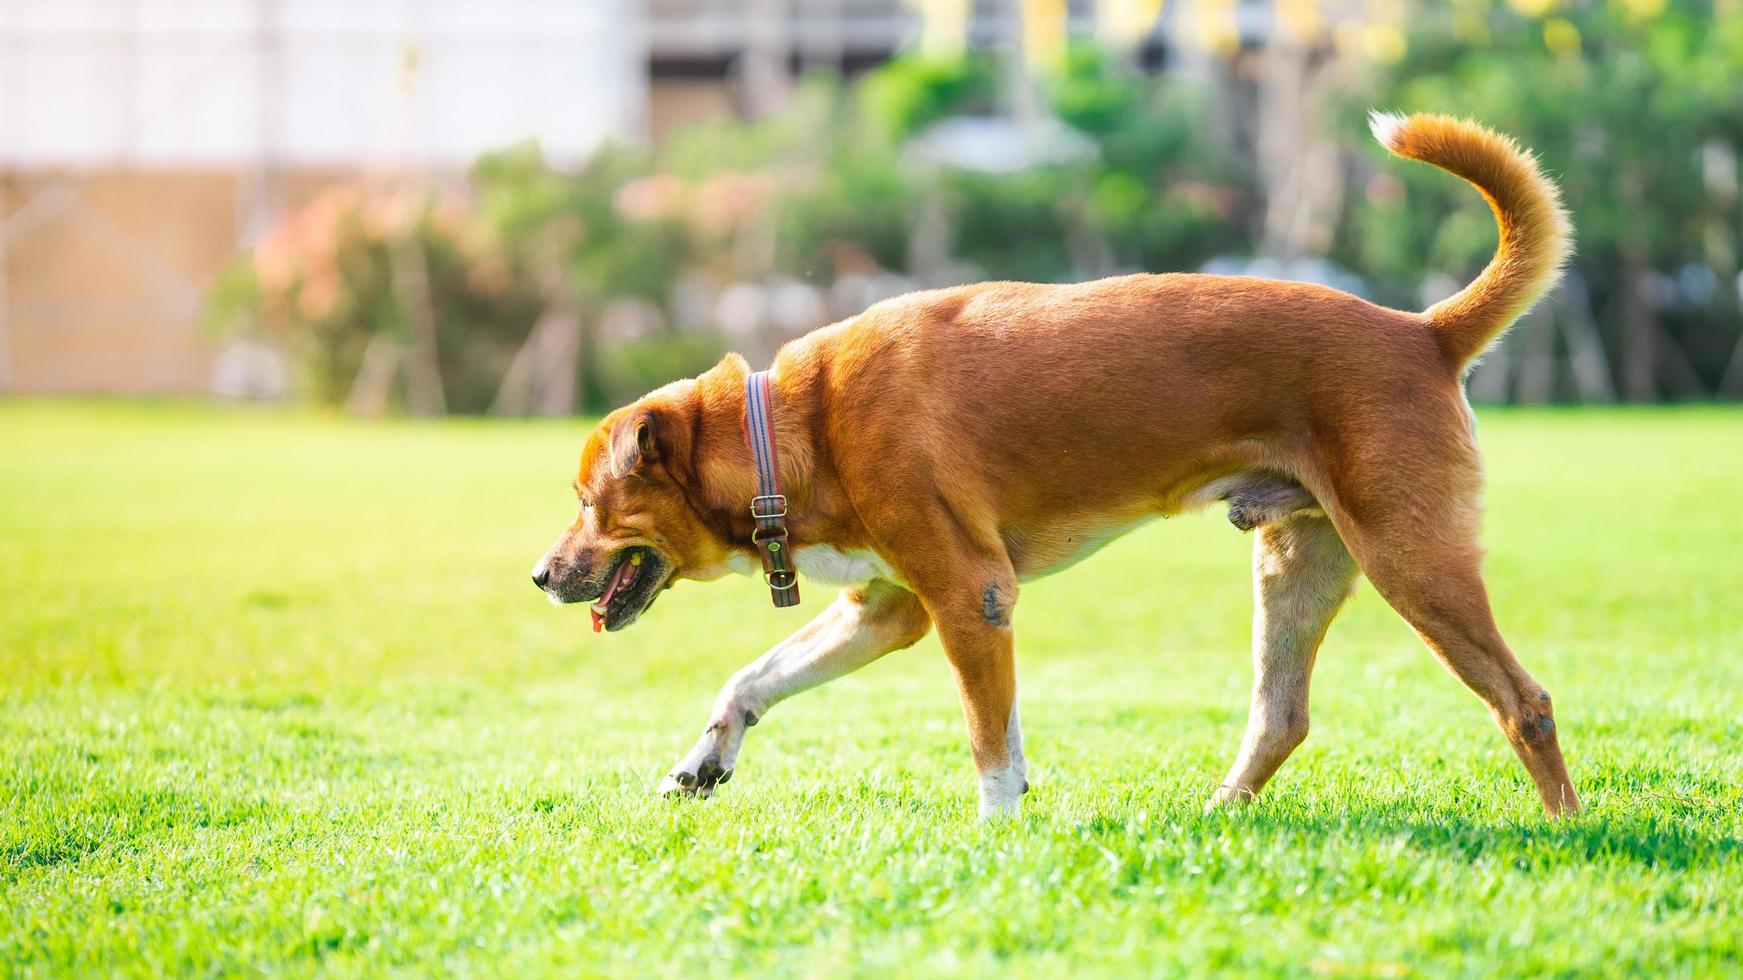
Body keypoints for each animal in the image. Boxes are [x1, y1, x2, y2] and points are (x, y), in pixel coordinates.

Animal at [526, 112, 1582, 816]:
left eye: (587, 500)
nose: (538, 574)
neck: (788, 425)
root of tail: (1422, 331)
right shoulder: (889, 607)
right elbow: (751, 678)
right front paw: (705, 760)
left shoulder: (968, 595)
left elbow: (988, 740)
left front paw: (997, 836)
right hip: (1295, 559)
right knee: (1280, 716)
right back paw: (1220, 817)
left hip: (1409, 556)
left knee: (1522, 701)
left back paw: (1564, 828)